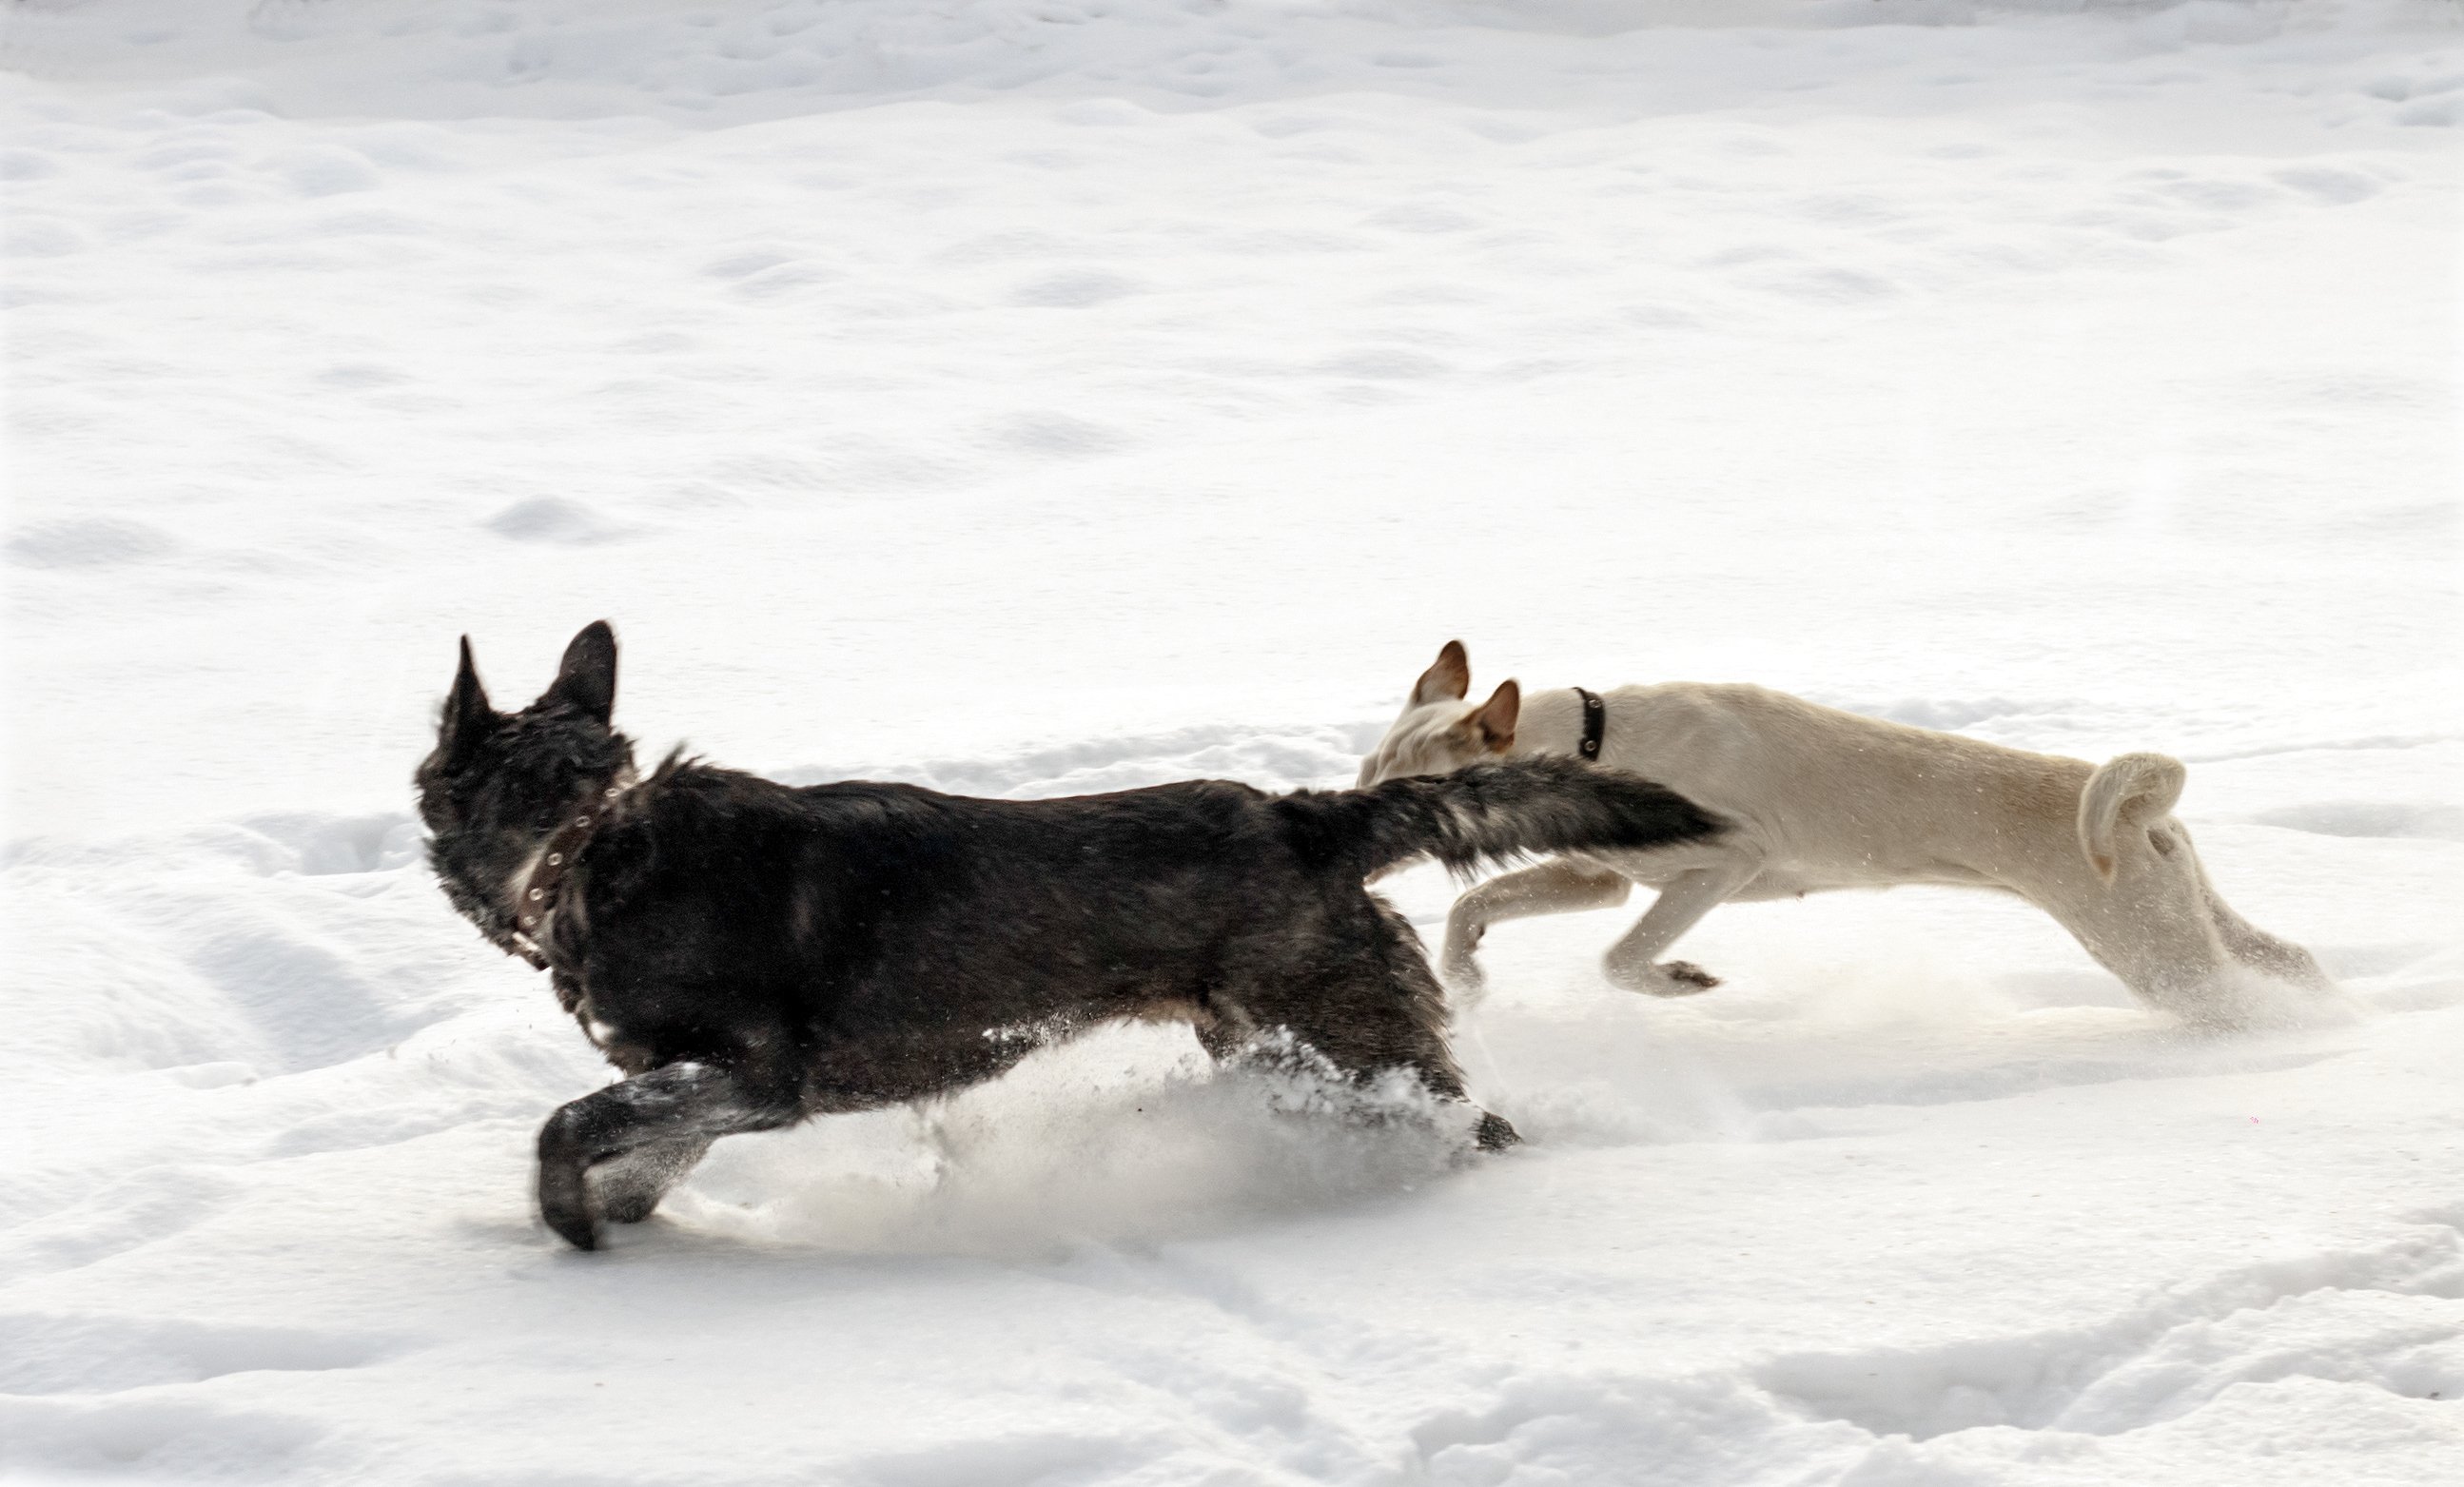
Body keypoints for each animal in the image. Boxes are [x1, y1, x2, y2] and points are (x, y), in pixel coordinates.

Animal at [414, 621, 1725, 1252]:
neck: (585, 839)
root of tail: (1306, 819)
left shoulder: (750, 1077)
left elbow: (568, 1128)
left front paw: (568, 1234)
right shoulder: (709, 1091)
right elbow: (640, 1158)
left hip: (1351, 1047)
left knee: (1479, 1127)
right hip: (1280, 1051)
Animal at [1359, 646, 2336, 1030]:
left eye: (1413, 788)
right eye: (1369, 767)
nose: (1351, 831)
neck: (1596, 743)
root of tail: (2135, 806)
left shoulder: (1720, 864)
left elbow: (1621, 958)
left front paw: (1681, 980)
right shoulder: (1600, 878)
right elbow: (1475, 909)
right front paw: (1467, 981)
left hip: (2154, 950)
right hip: (2187, 917)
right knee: (2294, 958)